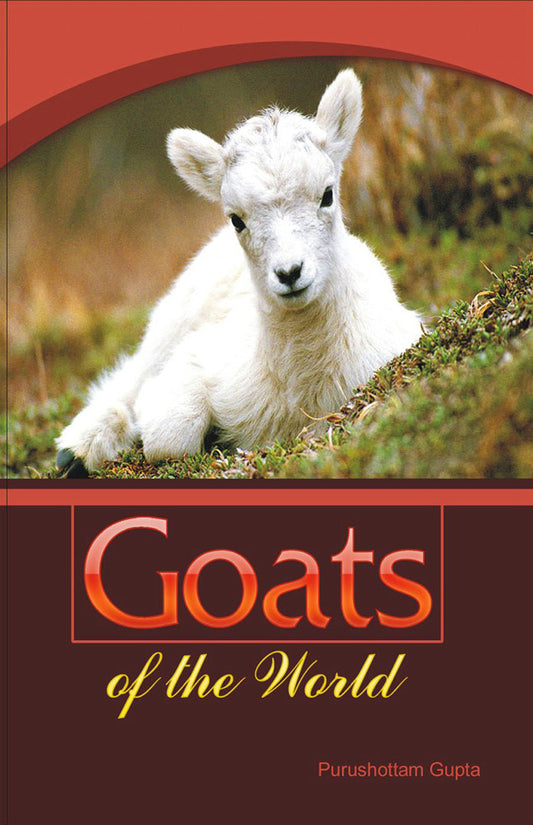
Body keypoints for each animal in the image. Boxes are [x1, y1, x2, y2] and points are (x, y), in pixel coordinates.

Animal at [56, 69, 422, 477]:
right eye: (236, 219)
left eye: (327, 194)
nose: (290, 272)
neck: (299, 391)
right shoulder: (194, 359)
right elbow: (169, 437)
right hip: (172, 321)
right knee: (130, 378)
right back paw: (77, 449)